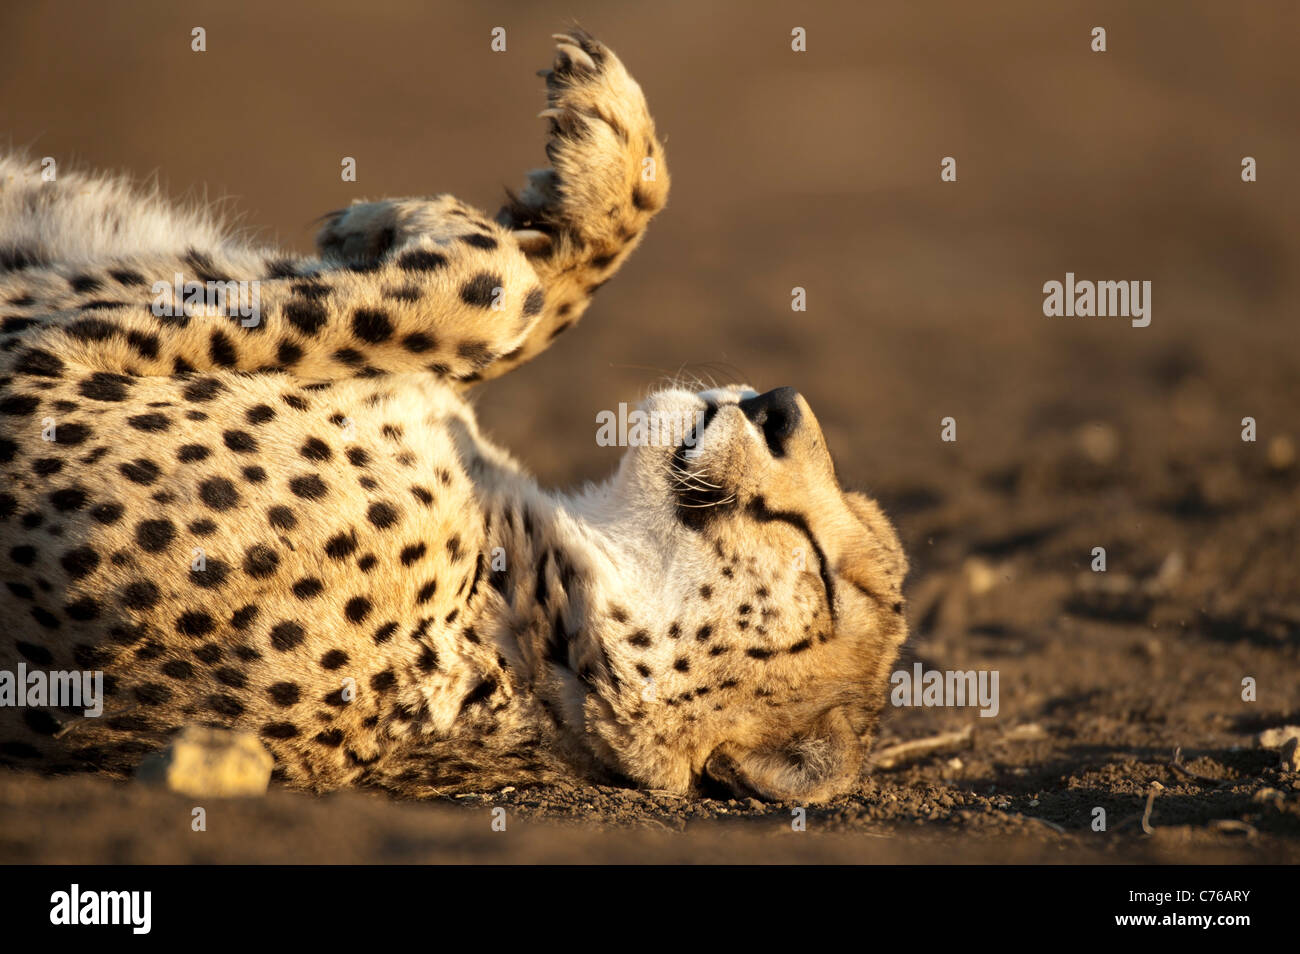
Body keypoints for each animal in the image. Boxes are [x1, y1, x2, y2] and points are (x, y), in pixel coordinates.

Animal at [0, 29, 909, 805]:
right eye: (840, 551)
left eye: (825, 577)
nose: (782, 405)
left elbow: (493, 286)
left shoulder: (36, 376)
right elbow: (524, 295)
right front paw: (594, 166)